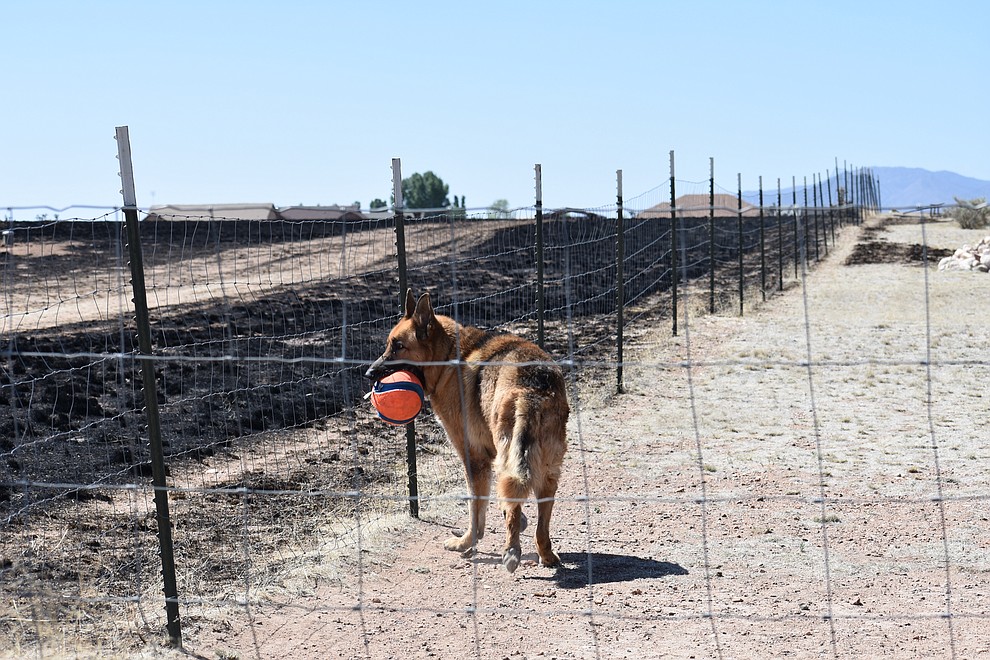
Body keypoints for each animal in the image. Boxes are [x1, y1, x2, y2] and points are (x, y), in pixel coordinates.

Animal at [366, 290, 568, 572]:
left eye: (398, 346)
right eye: (389, 344)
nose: (368, 373)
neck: (449, 355)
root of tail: (533, 388)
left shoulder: (474, 458)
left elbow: (476, 508)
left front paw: (467, 542)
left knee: (513, 503)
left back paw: (511, 551)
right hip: (547, 469)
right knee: (539, 517)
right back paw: (545, 554)